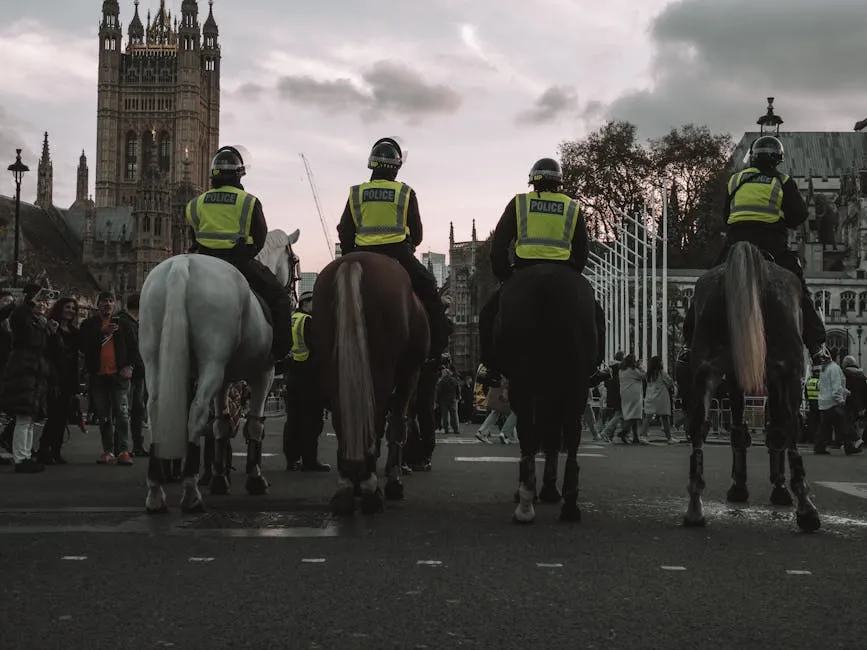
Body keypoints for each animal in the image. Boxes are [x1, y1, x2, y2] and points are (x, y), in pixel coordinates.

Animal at [136, 228, 298, 512]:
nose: (294, 294)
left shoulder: (224, 378)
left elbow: (221, 425)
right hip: (212, 362)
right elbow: (253, 424)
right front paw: (255, 478)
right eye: (294, 261)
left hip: (154, 360)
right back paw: (190, 492)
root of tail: (182, 266)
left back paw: (155, 491)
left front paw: (220, 479)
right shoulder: (264, 373)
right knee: (196, 412)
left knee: (155, 409)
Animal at [316, 251, 430, 512]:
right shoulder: (411, 372)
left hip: (331, 362)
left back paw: (347, 486)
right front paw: (393, 483)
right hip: (381, 364)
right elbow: (397, 423)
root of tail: (352, 262)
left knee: (344, 416)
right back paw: (369, 489)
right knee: (377, 415)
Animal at [492, 264, 600, 520]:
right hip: (573, 380)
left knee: (530, 431)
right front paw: (549, 489)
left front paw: (541, 489)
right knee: (569, 431)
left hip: (526, 381)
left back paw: (526, 502)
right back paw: (568, 504)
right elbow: (551, 434)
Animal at [684, 240, 820, 528]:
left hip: (705, 368)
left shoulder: (738, 379)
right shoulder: (778, 376)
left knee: (699, 426)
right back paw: (806, 507)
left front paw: (740, 486)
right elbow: (776, 431)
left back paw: (695, 507)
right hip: (790, 371)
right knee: (791, 426)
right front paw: (779, 489)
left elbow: (740, 431)